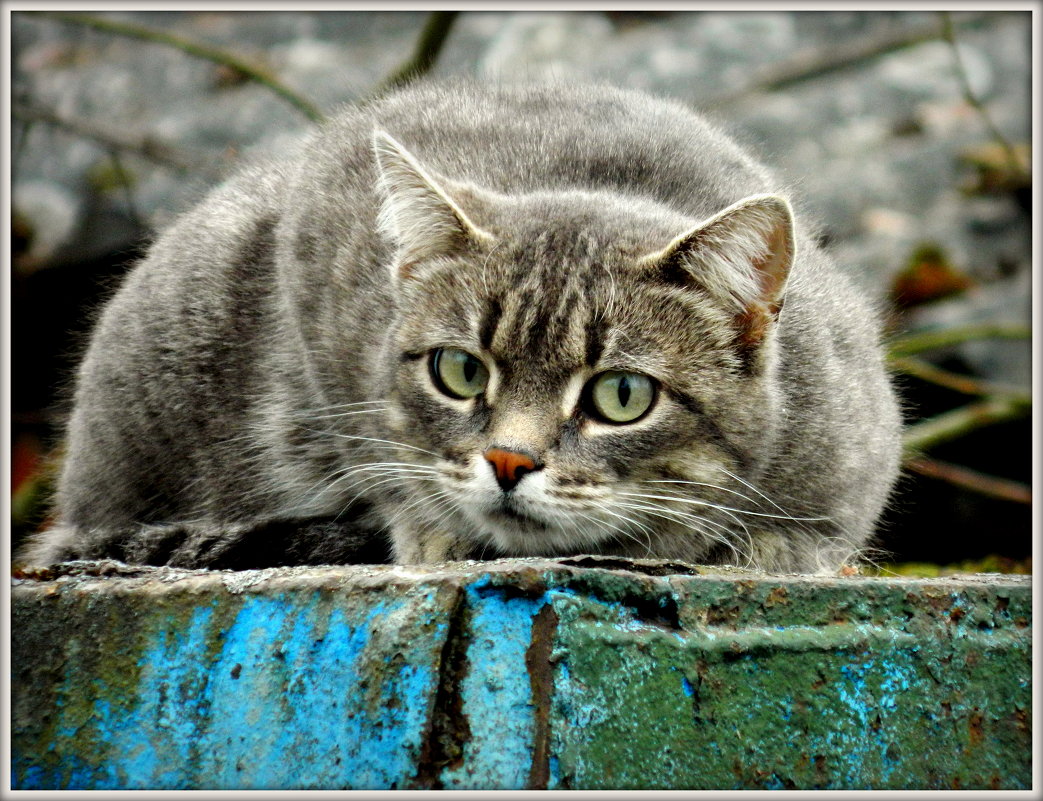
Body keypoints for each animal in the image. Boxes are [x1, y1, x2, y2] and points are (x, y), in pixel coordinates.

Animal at [16, 78, 901, 571]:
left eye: (621, 395)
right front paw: (431, 528)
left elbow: (811, 532)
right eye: (460, 370)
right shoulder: (320, 259)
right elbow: (379, 453)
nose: (508, 460)